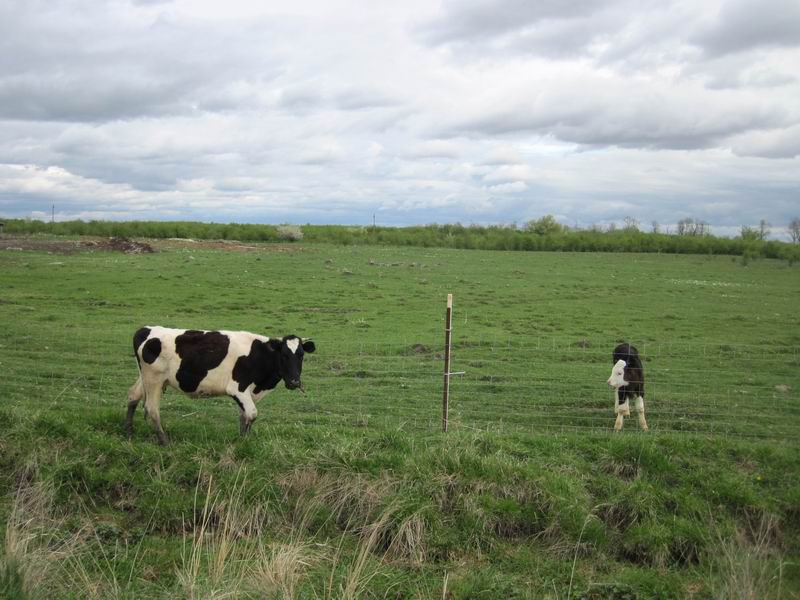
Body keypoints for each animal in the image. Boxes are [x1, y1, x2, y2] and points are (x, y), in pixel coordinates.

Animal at [126, 326, 316, 444]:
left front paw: (243, 441)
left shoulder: (246, 393)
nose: (294, 381)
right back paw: (164, 441)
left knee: (133, 395)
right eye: (284, 355)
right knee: (152, 408)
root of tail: (147, 329)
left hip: (144, 378)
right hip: (154, 379)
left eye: (301, 355)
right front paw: (243, 441)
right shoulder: (237, 388)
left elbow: (244, 417)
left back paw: (128, 430)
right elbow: (252, 414)